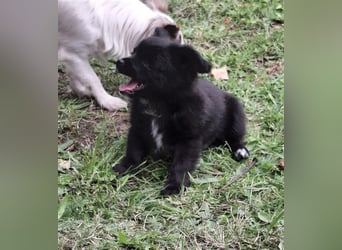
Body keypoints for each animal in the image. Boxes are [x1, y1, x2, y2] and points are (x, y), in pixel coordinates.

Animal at [113, 36, 248, 195]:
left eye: (148, 63)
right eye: (133, 52)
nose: (118, 62)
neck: (159, 104)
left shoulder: (188, 140)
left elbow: (181, 165)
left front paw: (174, 185)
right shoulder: (137, 128)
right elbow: (133, 150)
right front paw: (125, 167)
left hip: (237, 112)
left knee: (235, 138)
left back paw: (240, 150)